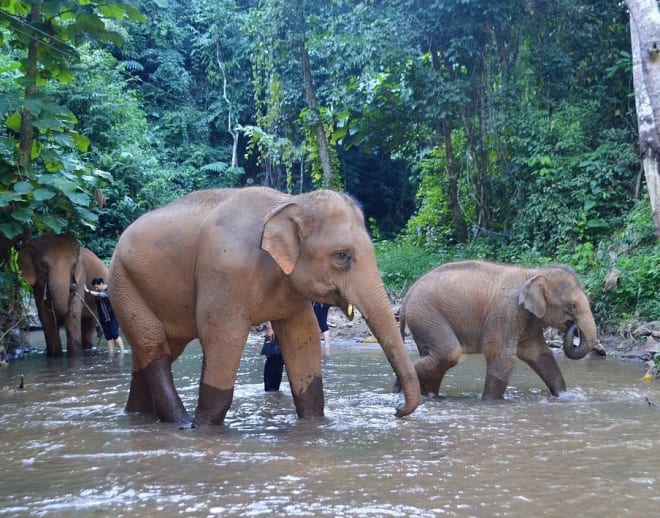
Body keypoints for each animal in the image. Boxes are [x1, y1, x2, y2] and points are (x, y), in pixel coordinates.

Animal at [107, 188, 418, 430]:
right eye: (342, 256)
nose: (396, 409)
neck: (288, 201)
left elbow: (303, 337)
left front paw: (314, 424)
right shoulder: (224, 272)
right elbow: (222, 338)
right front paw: (204, 429)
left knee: (155, 352)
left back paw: (139, 417)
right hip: (122, 283)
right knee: (153, 346)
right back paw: (181, 424)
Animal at [398, 262, 600, 400]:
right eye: (572, 306)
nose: (574, 327)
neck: (533, 273)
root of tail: (407, 295)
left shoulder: (527, 321)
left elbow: (539, 354)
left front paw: (565, 397)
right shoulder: (505, 313)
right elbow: (502, 357)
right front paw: (491, 401)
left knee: (436, 357)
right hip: (426, 315)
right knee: (448, 353)